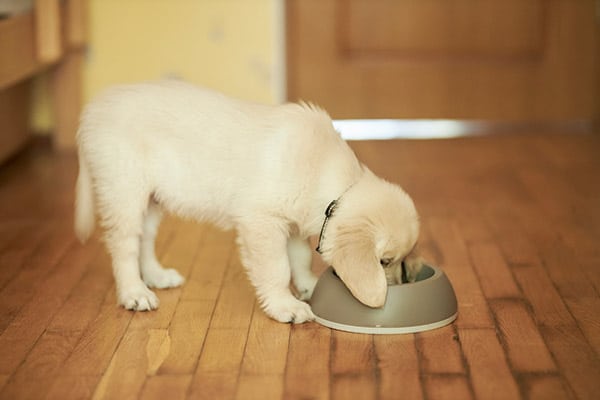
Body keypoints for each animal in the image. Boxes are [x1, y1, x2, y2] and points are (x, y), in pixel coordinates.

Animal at [75, 79, 422, 324]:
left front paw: (308, 285)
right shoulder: (262, 222)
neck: (327, 174)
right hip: (124, 190)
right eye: (384, 261)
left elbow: (300, 259)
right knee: (123, 245)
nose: (398, 287)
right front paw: (286, 305)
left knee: (144, 239)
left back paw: (155, 277)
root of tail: (92, 110)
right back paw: (134, 292)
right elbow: (277, 268)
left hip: (152, 198)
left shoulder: (292, 222)